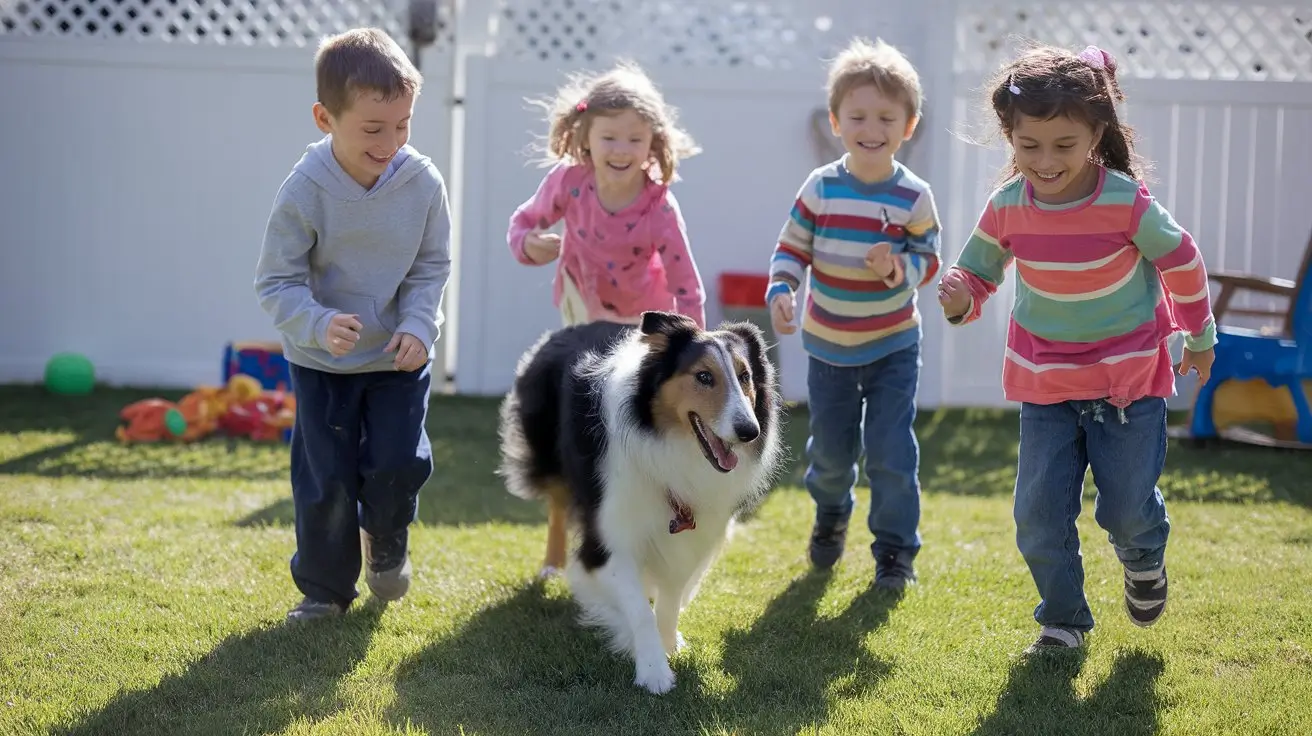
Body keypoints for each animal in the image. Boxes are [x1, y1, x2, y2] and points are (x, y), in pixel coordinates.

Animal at [495, 309, 781, 692]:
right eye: (704, 376)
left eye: (745, 375)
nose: (749, 431)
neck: (670, 444)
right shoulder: (609, 539)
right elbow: (639, 610)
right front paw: (653, 670)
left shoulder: (689, 539)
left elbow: (670, 601)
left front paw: (668, 644)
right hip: (547, 453)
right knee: (557, 506)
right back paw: (551, 566)